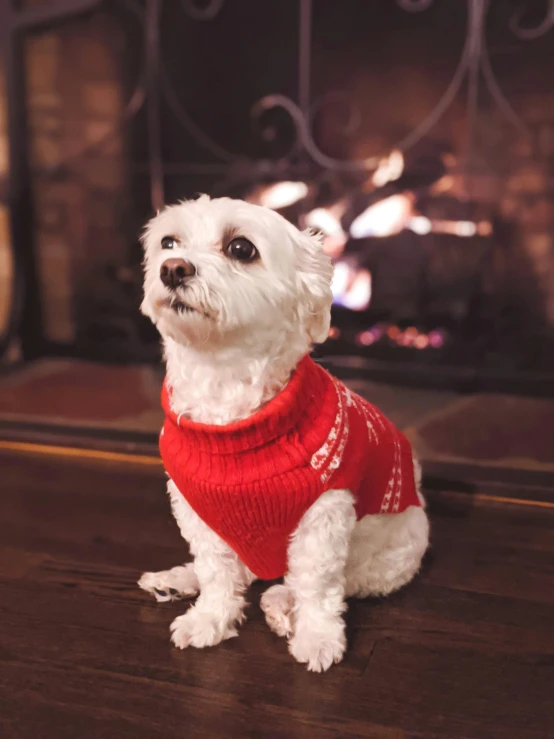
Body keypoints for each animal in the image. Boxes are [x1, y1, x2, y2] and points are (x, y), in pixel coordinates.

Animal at [137, 195, 426, 672]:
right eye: (168, 242)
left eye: (240, 248)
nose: (173, 269)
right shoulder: (195, 508)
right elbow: (217, 571)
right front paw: (209, 619)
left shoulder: (324, 517)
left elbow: (316, 584)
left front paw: (318, 637)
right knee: (242, 571)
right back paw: (177, 580)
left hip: (381, 564)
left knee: (305, 582)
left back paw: (279, 604)